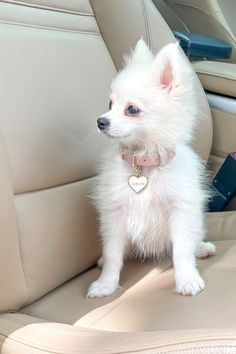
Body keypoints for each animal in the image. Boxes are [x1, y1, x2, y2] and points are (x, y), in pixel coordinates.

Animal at [87, 39, 216, 298]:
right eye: (110, 104)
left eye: (132, 109)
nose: (100, 121)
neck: (143, 163)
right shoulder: (114, 215)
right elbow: (113, 253)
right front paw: (105, 284)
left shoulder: (181, 211)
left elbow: (182, 251)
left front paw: (187, 279)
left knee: (193, 240)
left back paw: (201, 248)